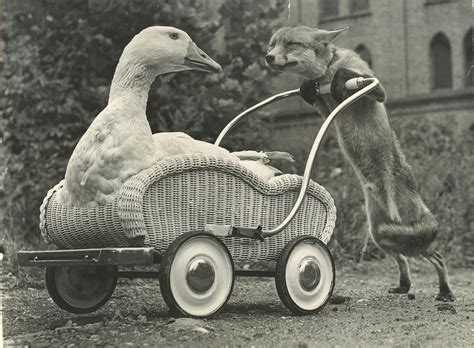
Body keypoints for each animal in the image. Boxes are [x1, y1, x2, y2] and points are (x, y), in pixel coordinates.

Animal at [266, 26, 456, 302]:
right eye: (272, 44)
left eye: (292, 44)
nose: (268, 57)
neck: (327, 70)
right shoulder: (326, 110)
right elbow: (313, 93)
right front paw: (307, 87)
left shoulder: (376, 90)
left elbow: (353, 77)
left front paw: (340, 78)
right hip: (380, 236)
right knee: (403, 259)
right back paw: (404, 286)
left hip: (409, 238)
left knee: (438, 258)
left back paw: (445, 291)